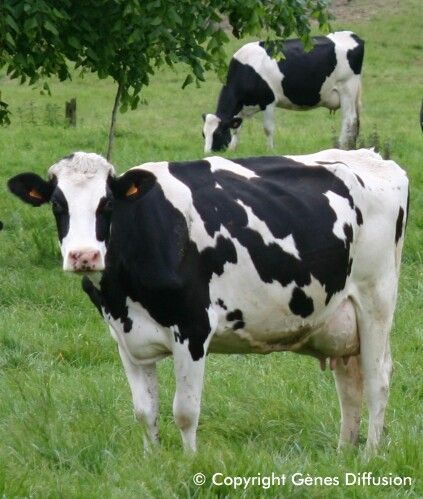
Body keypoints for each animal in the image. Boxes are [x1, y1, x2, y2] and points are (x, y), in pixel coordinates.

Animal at [204, 31, 366, 152]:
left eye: (218, 133)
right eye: (203, 134)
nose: (208, 153)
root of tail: (352, 35)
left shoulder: (269, 101)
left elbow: (268, 129)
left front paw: (270, 150)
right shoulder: (241, 108)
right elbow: (237, 129)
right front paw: (233, 149)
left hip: (347, 88)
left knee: (349, 120)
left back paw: (343, 147)